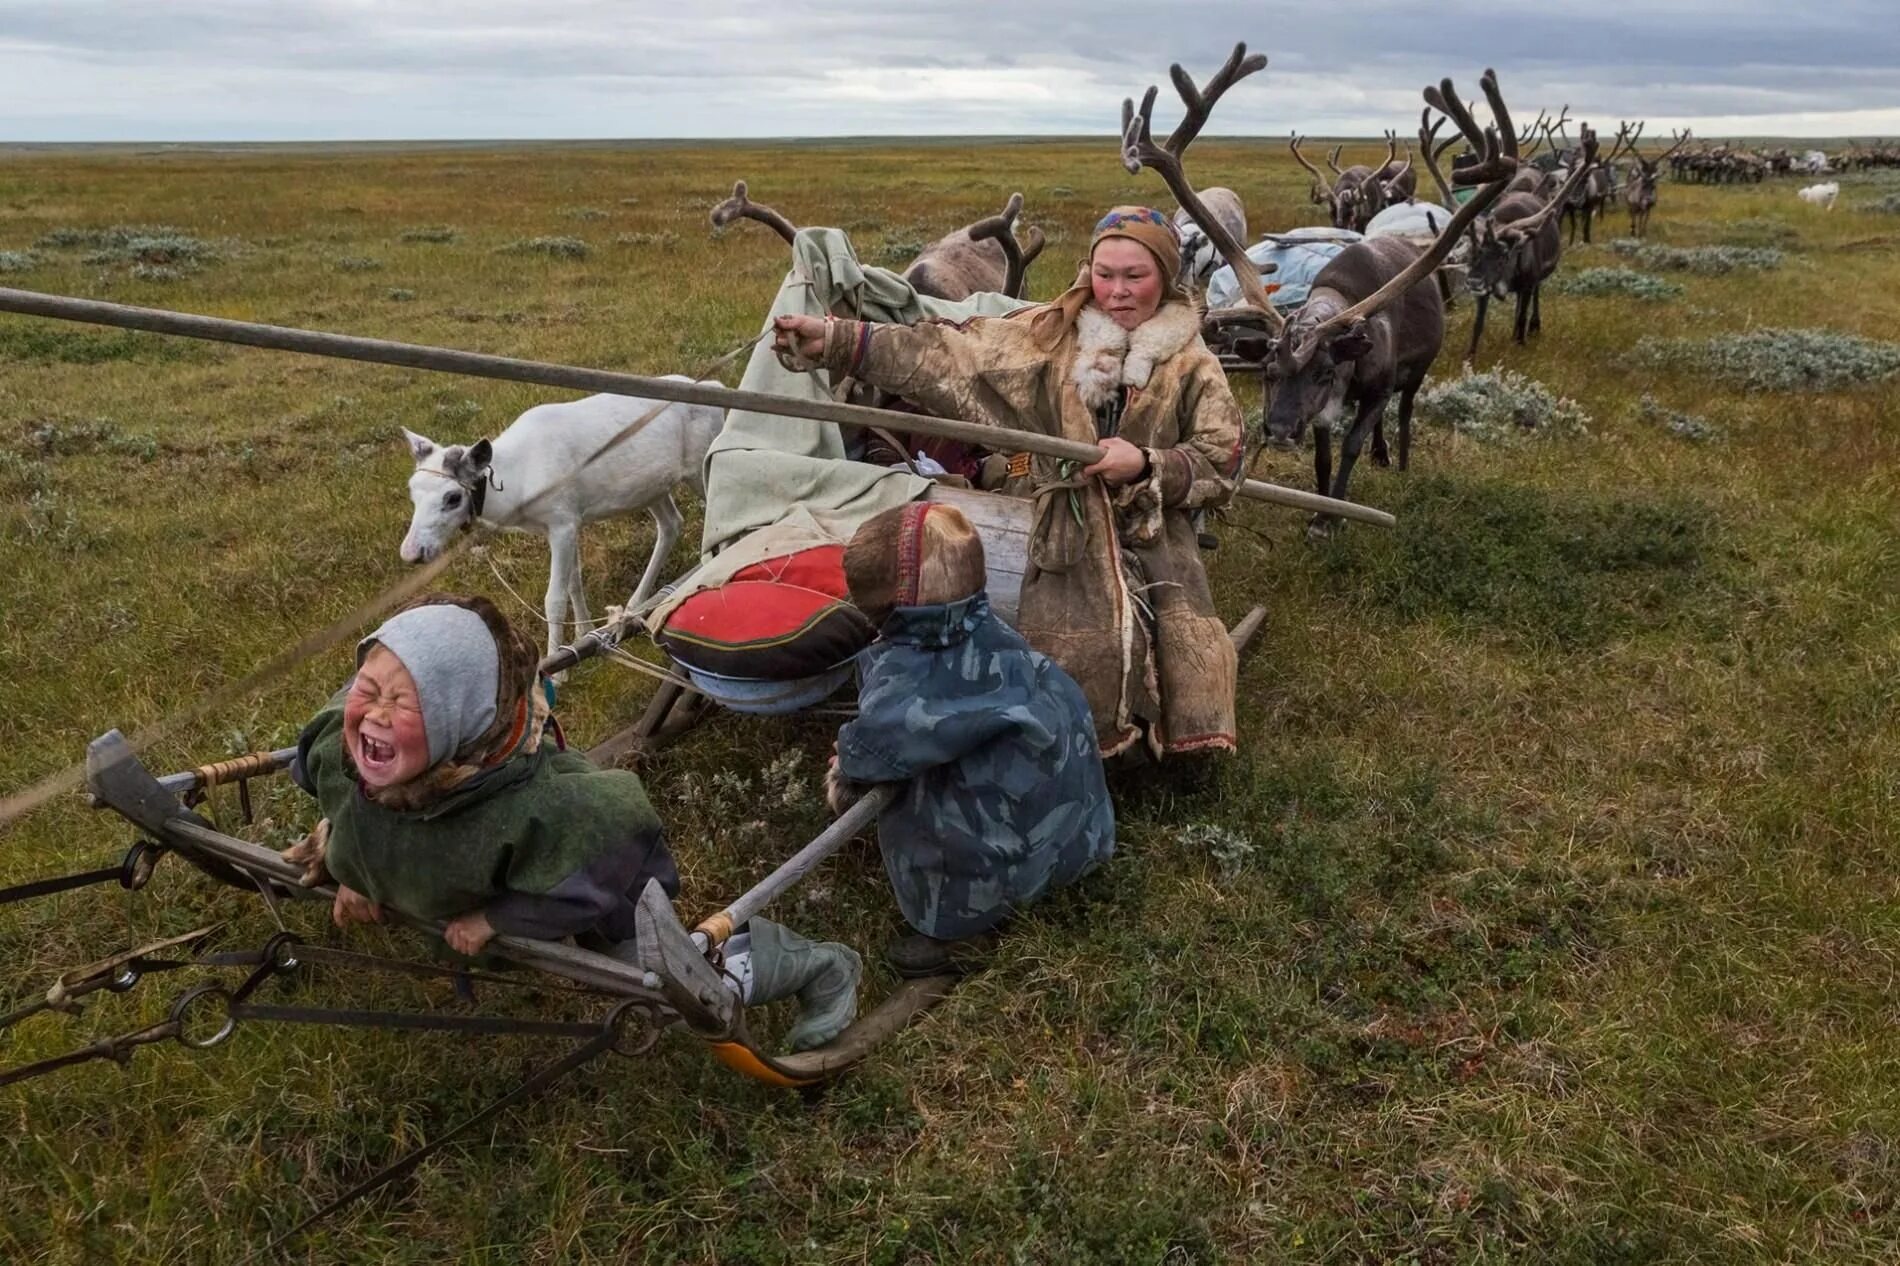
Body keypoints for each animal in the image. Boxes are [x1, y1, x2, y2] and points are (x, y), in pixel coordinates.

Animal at [397, 380, 722, 665]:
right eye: (411, 489)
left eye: (452, 497)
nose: (411, 552)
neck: (517, 489)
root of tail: (717, 388)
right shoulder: (570, 520)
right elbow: (573, 582)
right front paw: (582, 633)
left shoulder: (561, 520)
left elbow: (554, 597)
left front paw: (556, 667)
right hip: (652, 488)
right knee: (671, 523)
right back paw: (633, 606)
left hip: (699, 467)